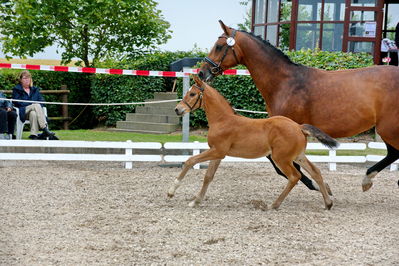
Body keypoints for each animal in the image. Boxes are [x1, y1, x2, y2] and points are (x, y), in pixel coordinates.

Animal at [167, 76, 340, 210]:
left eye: (192, 94)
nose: (177, 109)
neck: (222, 120)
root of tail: (298, 126)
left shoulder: (217, 151)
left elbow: (190, 161)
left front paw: (171, 192)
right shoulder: (218, 154)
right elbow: (208, 176)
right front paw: (196, 201)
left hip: (281, 159)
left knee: (294, 176)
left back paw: (274, 205)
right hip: (298, 156)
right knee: (315, 172)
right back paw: (328, 203)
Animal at [200, 20, 399, 191]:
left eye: (219, 46)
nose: (202, 72)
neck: (285, 82)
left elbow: (283, 166)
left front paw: (318, 186)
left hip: (388, 129)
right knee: (393, 153)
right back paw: (368, 179)